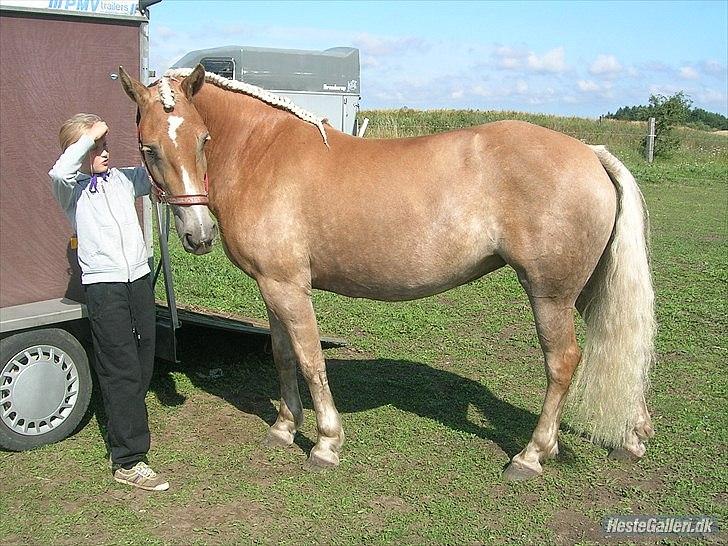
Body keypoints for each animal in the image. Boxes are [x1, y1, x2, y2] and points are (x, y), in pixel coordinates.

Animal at [118, 63, 656, 478]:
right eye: (149, 147)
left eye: (203, 138)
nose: (198, 234)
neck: (261, 151)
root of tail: (590, 153)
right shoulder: (271, 286)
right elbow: (282, 355)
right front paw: (284, 427)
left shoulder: (289, 287)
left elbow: (311, 359)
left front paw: (326, 443)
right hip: (584, 291)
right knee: (618, 341)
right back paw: (633, 437)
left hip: (549, 295)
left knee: (563, 362)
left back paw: (531, 455)